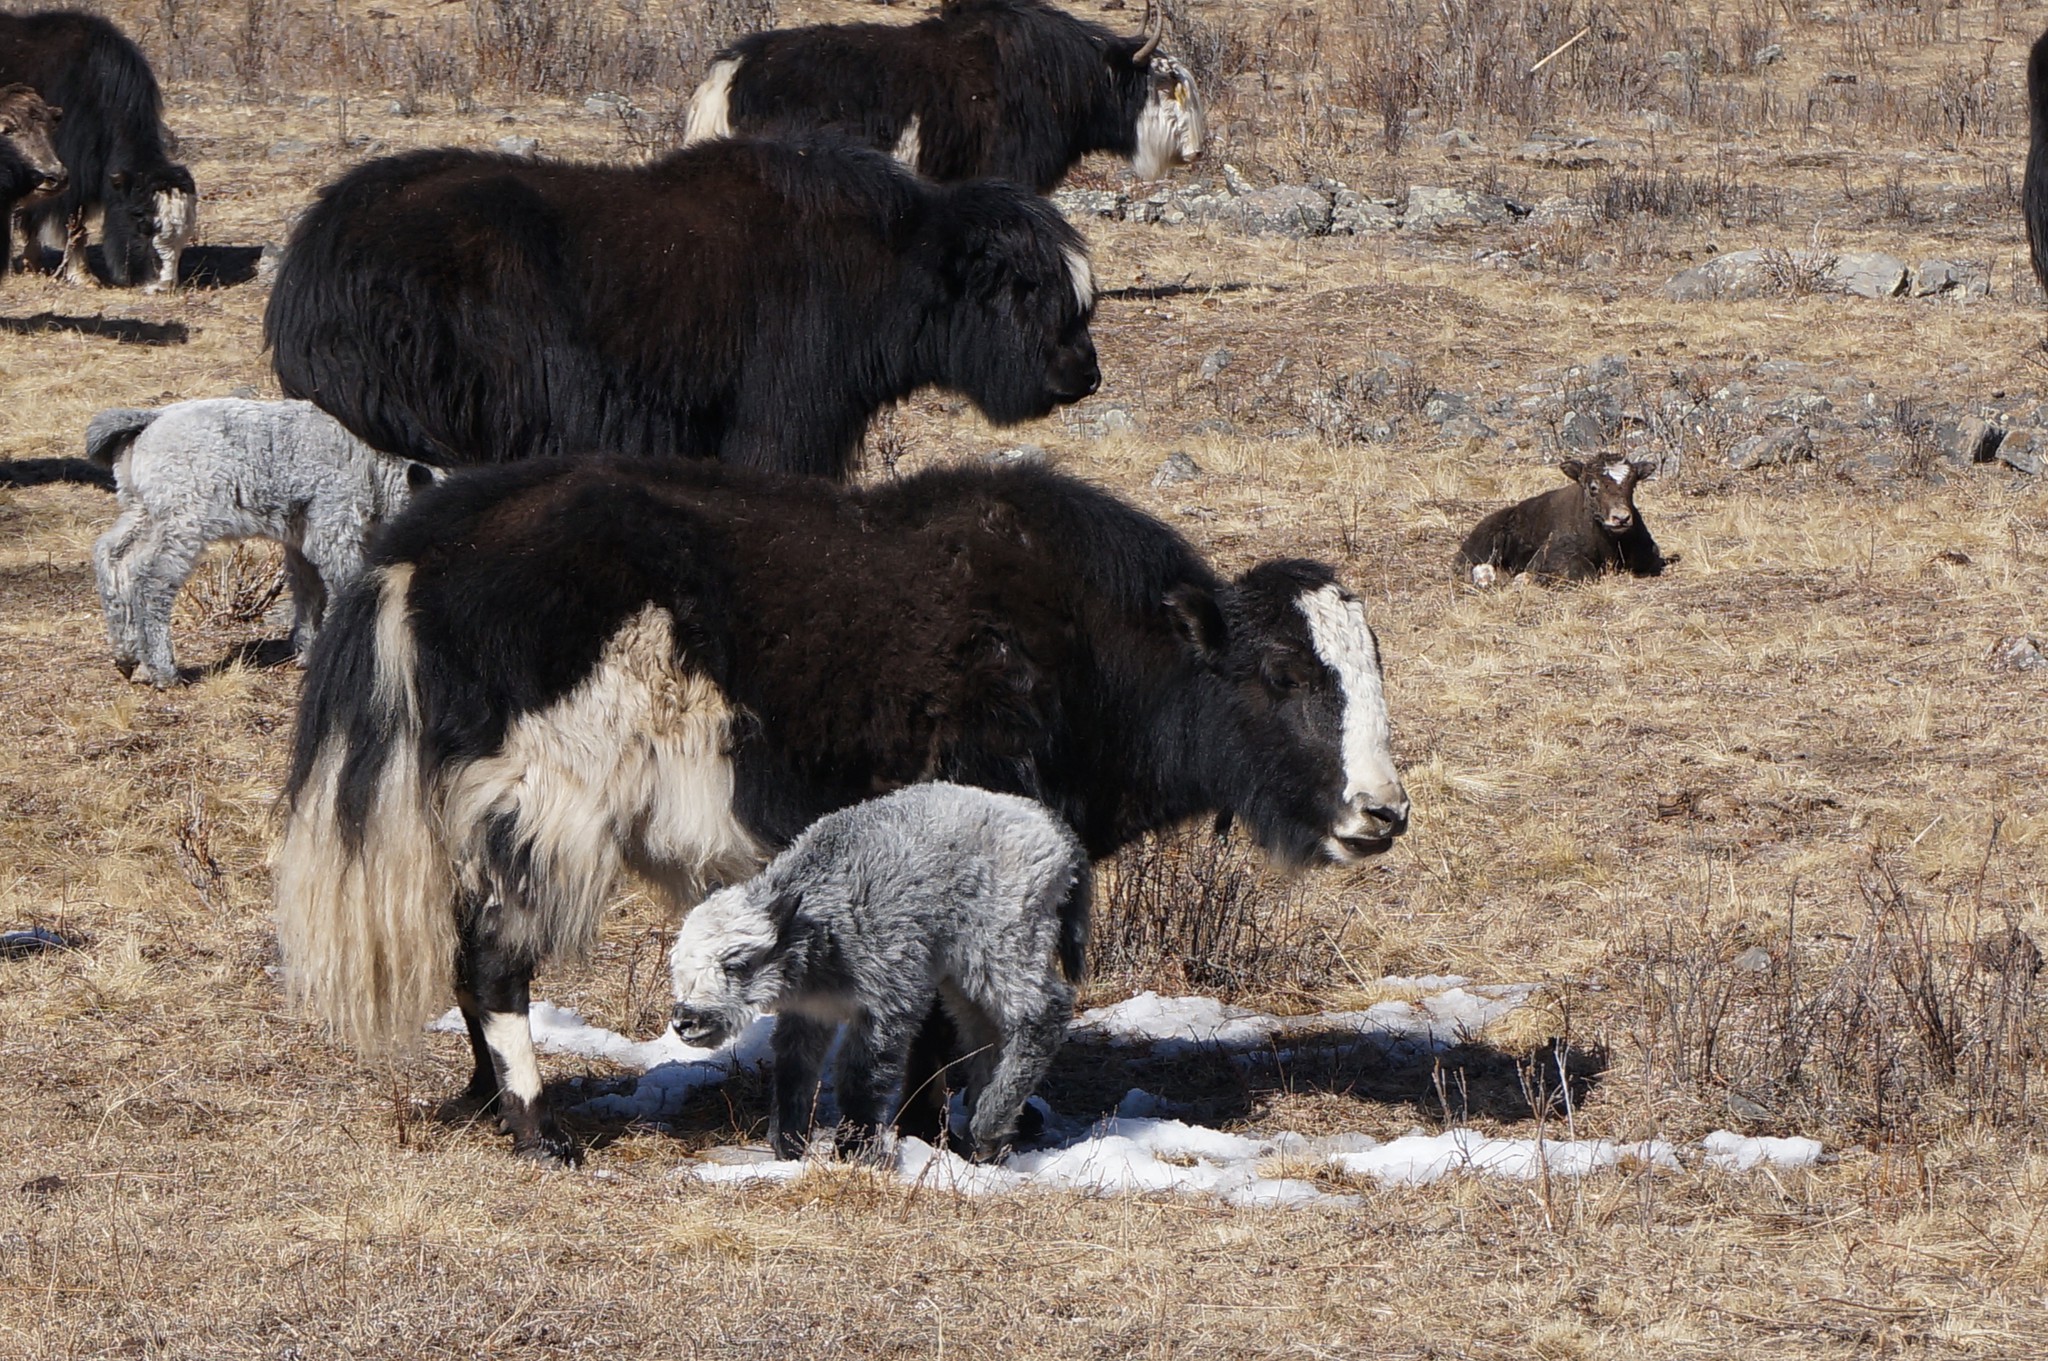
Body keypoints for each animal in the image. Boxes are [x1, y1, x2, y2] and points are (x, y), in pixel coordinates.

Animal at [93, 399, 440, 683]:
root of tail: (151, 420)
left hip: (142, 510)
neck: (370, 464)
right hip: (182, 520)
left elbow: (308, 594)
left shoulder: (300, 540)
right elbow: (341, 584)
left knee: (112, 556)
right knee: (150, 581)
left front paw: (308, 651)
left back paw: (128, 657)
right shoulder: (334, 525)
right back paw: (162, 670)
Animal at [667, 781, 1089, 1162]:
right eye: (679, 967)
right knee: (986, 1032)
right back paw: (985, 1140)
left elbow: (862, 1076)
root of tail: (1056, 832)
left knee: (1044, 1011)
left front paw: (853, 1150)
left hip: (1008, 931)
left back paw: (989, 1122)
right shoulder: (808, 1011)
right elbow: (793, 1068)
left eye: (735, 965)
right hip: (963, 973)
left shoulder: (889, 995)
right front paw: (788, 1144)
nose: (685, 1021)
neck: (824, 927)